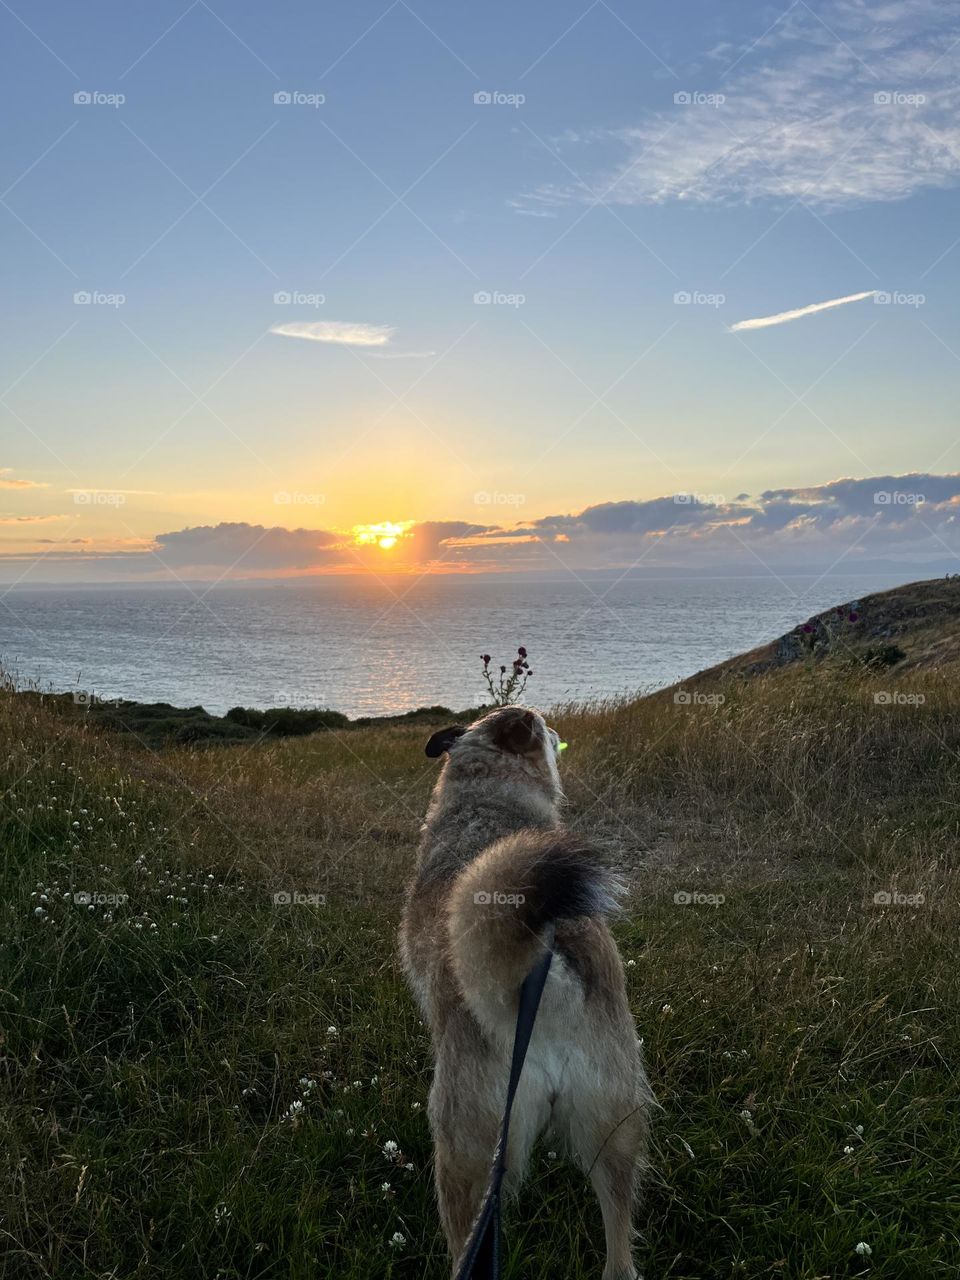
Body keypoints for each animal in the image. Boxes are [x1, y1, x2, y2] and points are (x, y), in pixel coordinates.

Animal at [399, 706, 655, 1274]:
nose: (559, 732)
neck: (487, 794)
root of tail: (546, 978)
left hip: (467, 1150)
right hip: (613, 1122)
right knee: (620, 1252)